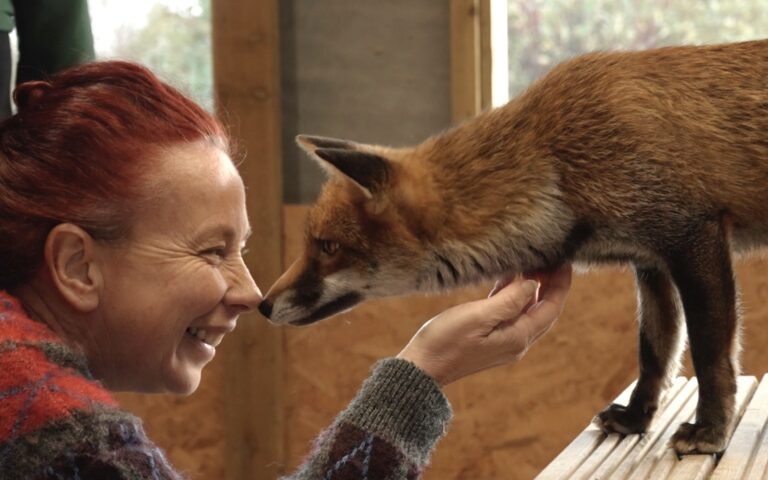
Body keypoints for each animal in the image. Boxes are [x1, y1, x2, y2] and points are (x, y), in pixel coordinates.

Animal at [258, 39, 768, 455]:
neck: (558, 161)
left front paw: (711, 430)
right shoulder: (650, 261)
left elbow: (708, 354)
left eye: (327, 247)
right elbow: (655, 351)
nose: (263, 305)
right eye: (313, 244)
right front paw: (638, 417)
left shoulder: (692, 237)